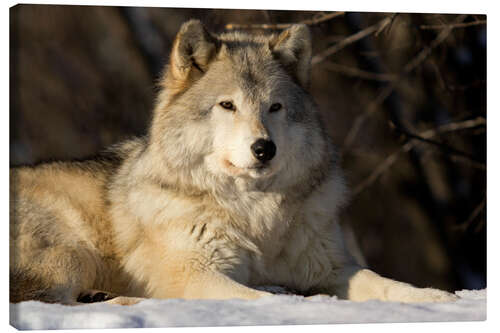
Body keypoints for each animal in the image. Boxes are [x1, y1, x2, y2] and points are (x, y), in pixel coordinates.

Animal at [9, 18, 458, 304]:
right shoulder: (197, 273)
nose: (264, 148)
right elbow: (263, 300)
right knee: (45, 301)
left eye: (275, 107)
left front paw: (436, 299)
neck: (255, 215)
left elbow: (384, 282)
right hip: (71, 251)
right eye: (228, 105)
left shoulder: (329, 268)